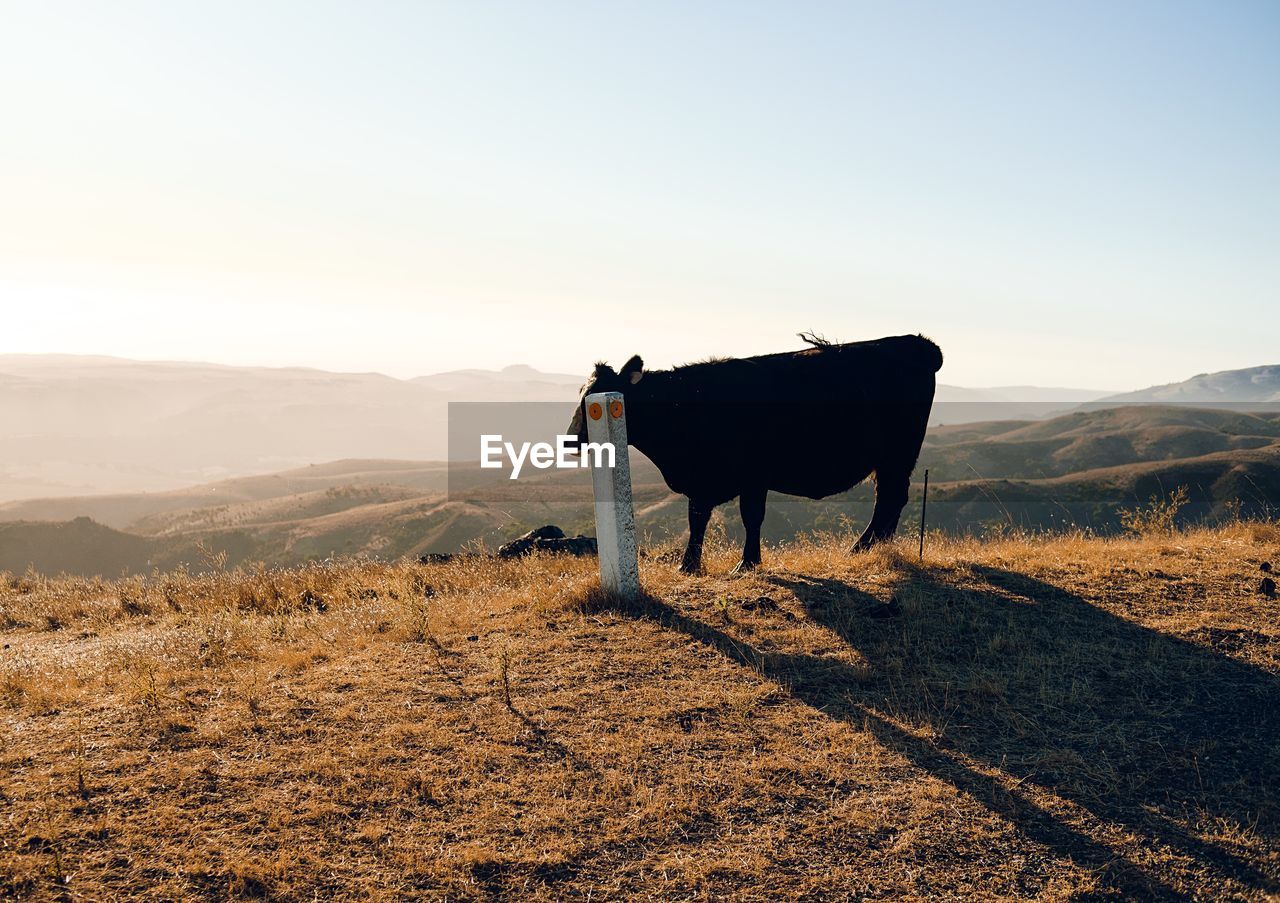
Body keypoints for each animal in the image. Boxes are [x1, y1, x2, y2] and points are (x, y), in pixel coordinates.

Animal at [568, 335, 942, 573]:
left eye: (594, 402)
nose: (571, 439)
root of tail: (918, 343)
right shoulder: (702, 480)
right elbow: (697, 518)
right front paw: (689, 565)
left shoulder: (752, 476)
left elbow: (750, 517)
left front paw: (746, 563)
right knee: (890, 500)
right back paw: (876, 546)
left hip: (897, 455)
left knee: (891, 498)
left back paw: (862, 547)